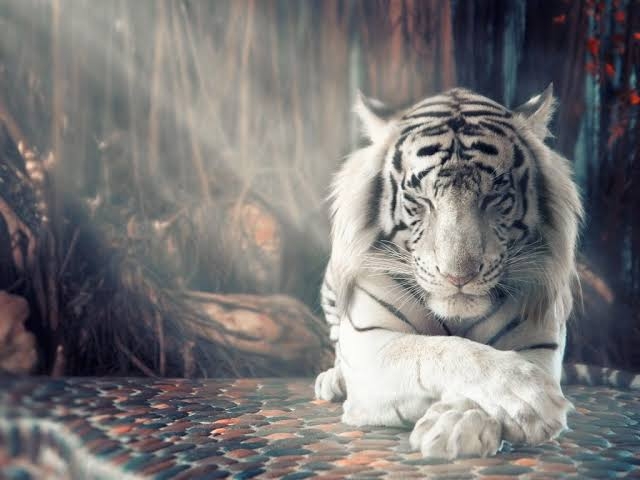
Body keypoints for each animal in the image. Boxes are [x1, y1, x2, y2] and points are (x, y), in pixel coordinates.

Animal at [314, 85, 639, 460]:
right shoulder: (371, 345)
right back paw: (332, 380)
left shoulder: (539, 343)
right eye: (420, 200)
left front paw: (456, 425)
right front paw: (528, 397)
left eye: (494, 196)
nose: (458, 276)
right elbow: (441, 351)